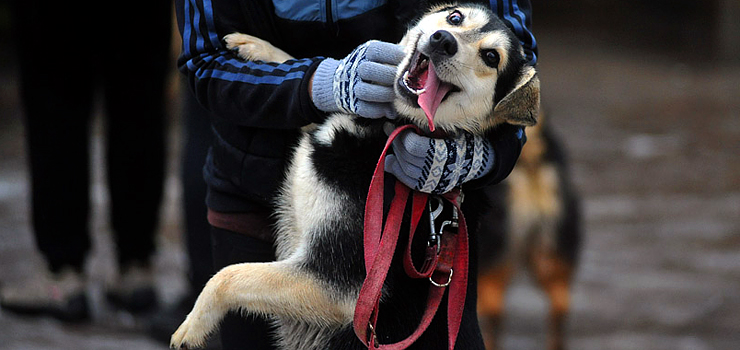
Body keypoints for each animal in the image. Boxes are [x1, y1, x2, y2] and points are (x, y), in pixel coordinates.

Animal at [171, 3, 540, 350]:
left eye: (491, 57)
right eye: (455, 18)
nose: (443, 41)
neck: (387, 128)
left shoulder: (337, 284)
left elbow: (229, 276)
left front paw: (192, 326)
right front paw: (263, 49)